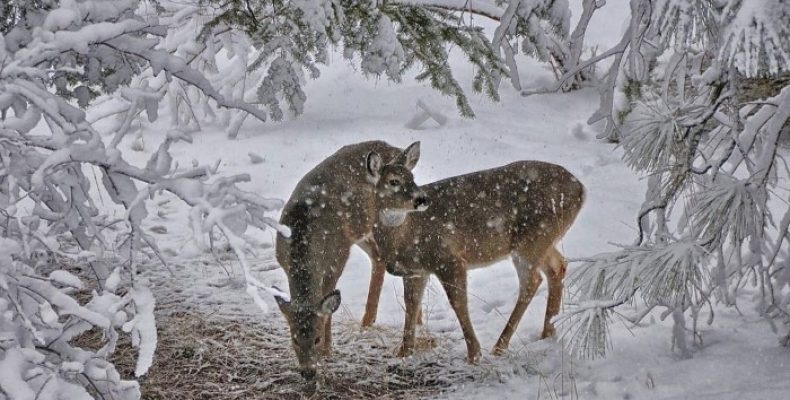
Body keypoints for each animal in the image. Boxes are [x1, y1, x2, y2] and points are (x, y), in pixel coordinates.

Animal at [276, 141, 430, 382]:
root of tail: (395, 149)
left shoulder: (337, 258)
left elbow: (328, 304)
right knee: (378, 258)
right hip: (362, 232)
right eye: (294, 339)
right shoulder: (283, 262)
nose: (308, 372)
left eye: (316, 338)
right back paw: (370, 321)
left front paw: (327, 350)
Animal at [372, 159, 588, 362]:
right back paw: (547, 333)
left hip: (532, 239)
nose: (422, 199)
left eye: (412, 177)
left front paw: (473, 353)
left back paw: (500, 346)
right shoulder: (416, 271)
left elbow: (458, 302)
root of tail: (581, 189)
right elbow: (411, 303)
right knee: (558, 266)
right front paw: (404, 352)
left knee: (532, 281)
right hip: (541, 241)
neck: (405, 234)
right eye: (393, 181)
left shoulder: (449, 258)